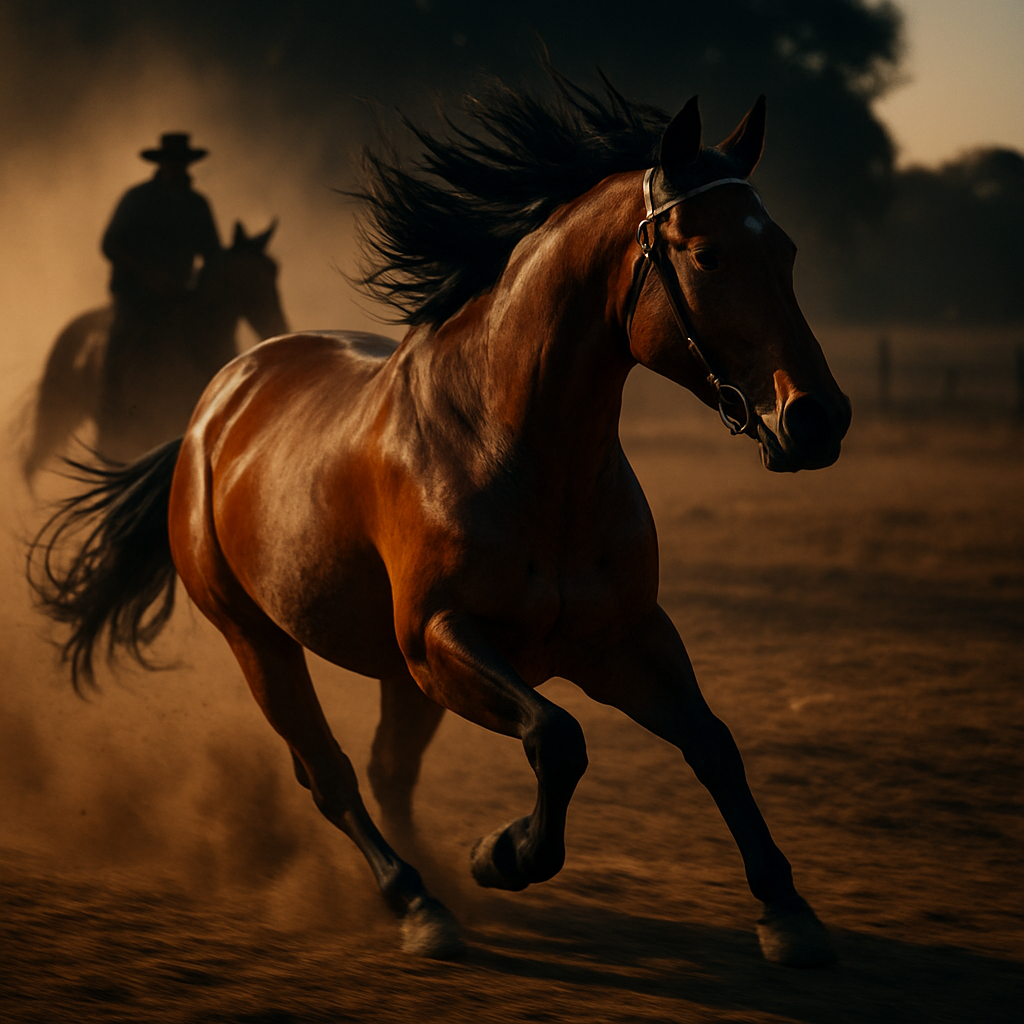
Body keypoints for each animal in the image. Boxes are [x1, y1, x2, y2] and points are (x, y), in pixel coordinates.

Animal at [21, 222, 288, 477]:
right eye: (247, 276)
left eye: (274, 270)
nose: (278, 326)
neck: (198, 343)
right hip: (60, 415)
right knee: (32, 466)